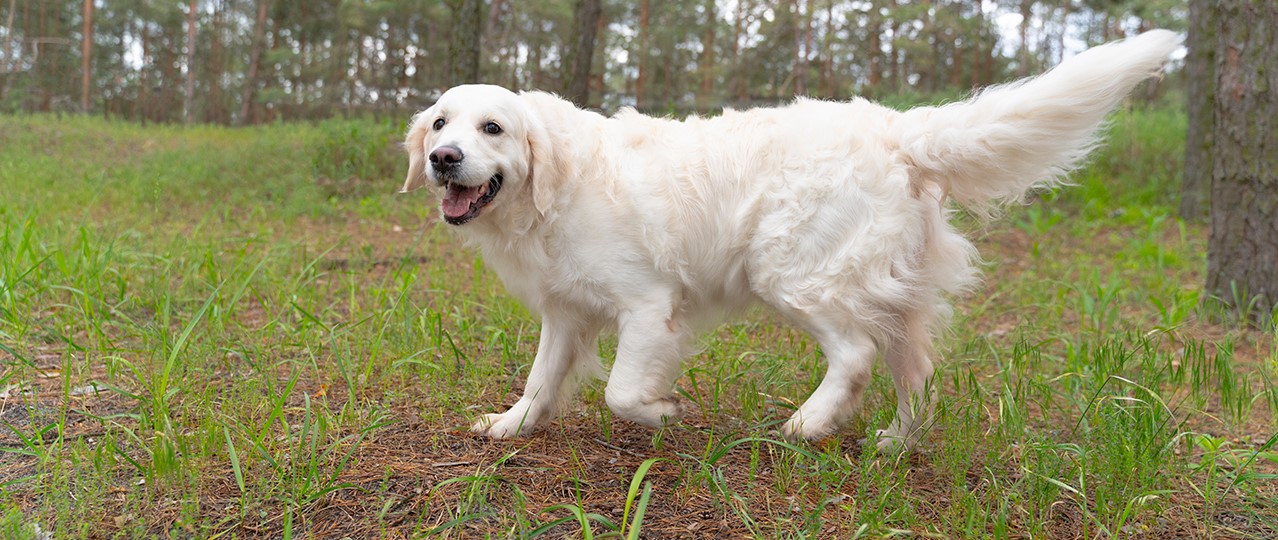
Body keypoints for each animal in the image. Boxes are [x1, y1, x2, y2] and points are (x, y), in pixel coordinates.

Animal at [403, 30, 1180, 451]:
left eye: (493, 128)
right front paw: (509, 426)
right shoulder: (565, 314)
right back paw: (895, 442)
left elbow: (622, 392)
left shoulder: (649, 306)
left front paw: (661, 412)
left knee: (855, 354)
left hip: (793, 274)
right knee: (917, 372)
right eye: (441, 122)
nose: (443, 159)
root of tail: (896, 130)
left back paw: (809, 423)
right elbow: (539, 382)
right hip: (889, 296)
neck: (556, 185)